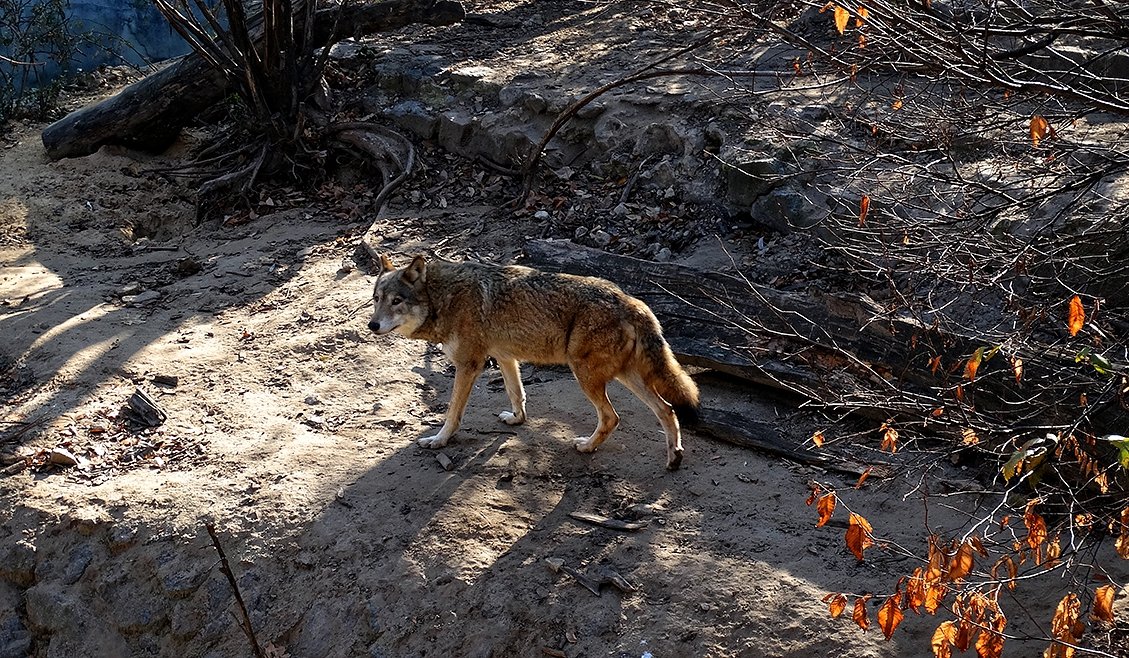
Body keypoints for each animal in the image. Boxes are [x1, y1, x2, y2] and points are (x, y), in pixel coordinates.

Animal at [365, 255, 695, 471]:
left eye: (397, 301)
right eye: (377, 298)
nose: (372, 325)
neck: (442, 297)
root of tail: (632, 301)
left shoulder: (468, 365)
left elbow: (452, 413)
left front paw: (439, 440)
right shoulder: (505, 357)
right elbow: (517, 394)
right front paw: (517, 420)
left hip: (585, 376)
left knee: (612, 417)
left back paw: (587, 447)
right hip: (625, 377)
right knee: (666, 410)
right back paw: (674, 458)